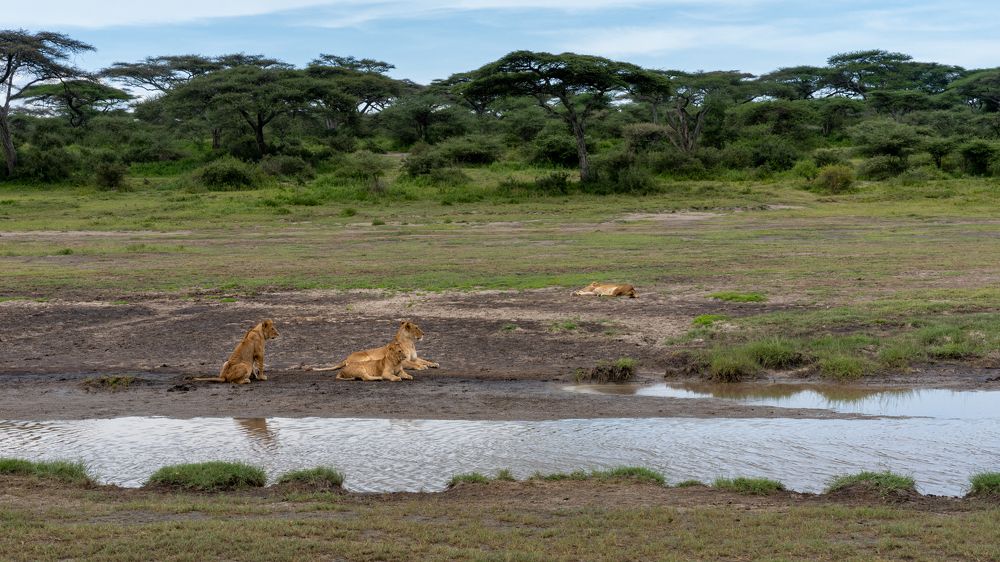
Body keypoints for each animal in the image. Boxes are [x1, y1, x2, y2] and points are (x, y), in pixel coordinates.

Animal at [309, 320, 438, 373]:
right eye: (416, 328)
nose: (424, 334)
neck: (410, 343)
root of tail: (346, 358)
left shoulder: (415, 357)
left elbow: (424, 360)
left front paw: (433, 364)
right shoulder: (404, 360)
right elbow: (414, 364)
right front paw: (421, 367)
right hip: (365, 356)